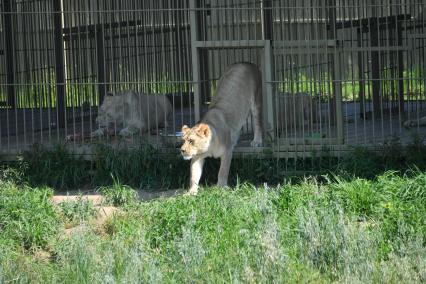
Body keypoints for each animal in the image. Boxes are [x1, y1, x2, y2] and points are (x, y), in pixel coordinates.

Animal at [179, 62, 262, 195]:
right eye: (183, 141)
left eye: (191, 141)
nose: (182, 150)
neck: (210, 147)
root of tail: (247, 63)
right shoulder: (196, 157)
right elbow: (194, 175)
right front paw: (191, 192)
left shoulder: (227, 151)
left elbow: (223, 171)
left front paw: (221, 187)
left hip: (256, 99)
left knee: (257, 122)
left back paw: (257, 141)